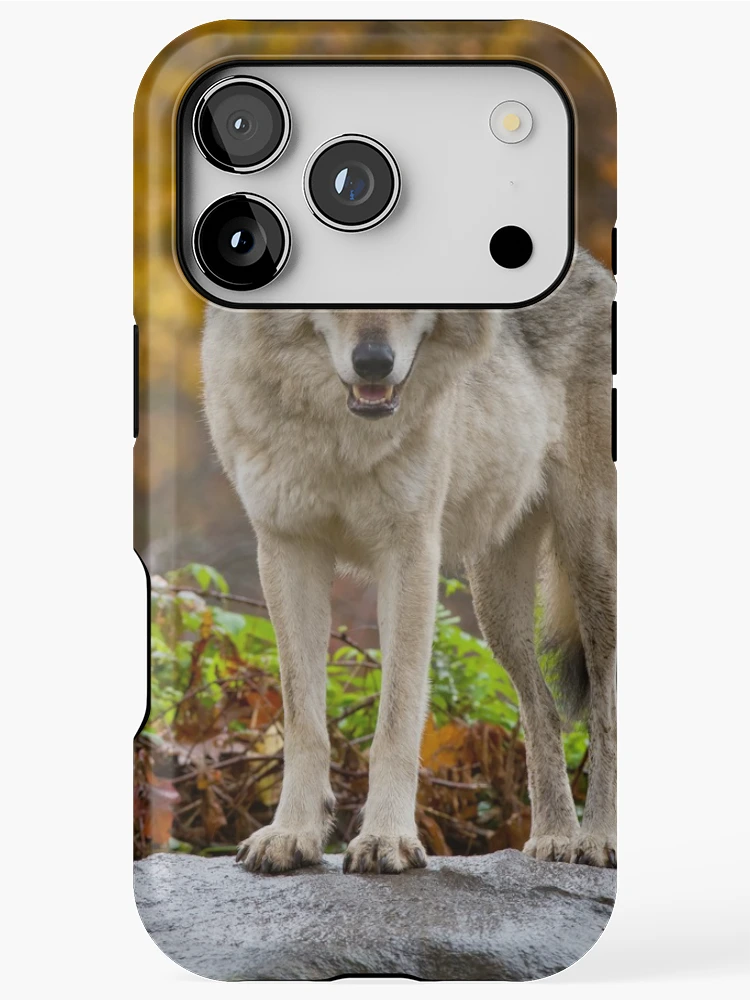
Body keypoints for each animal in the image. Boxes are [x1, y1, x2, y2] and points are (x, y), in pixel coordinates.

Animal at [201, 249, 616, 874]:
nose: (374, 363)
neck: (342, 438)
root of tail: (597, 267)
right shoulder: (287, 549)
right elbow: (303, 719)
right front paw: (292, 834)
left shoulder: (411, 554)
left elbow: (396, 718)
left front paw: (385, 839)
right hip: (496, 604)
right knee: (541, 709)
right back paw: (553, 839)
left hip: (589, 561)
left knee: (606, 708)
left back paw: (599, 839)